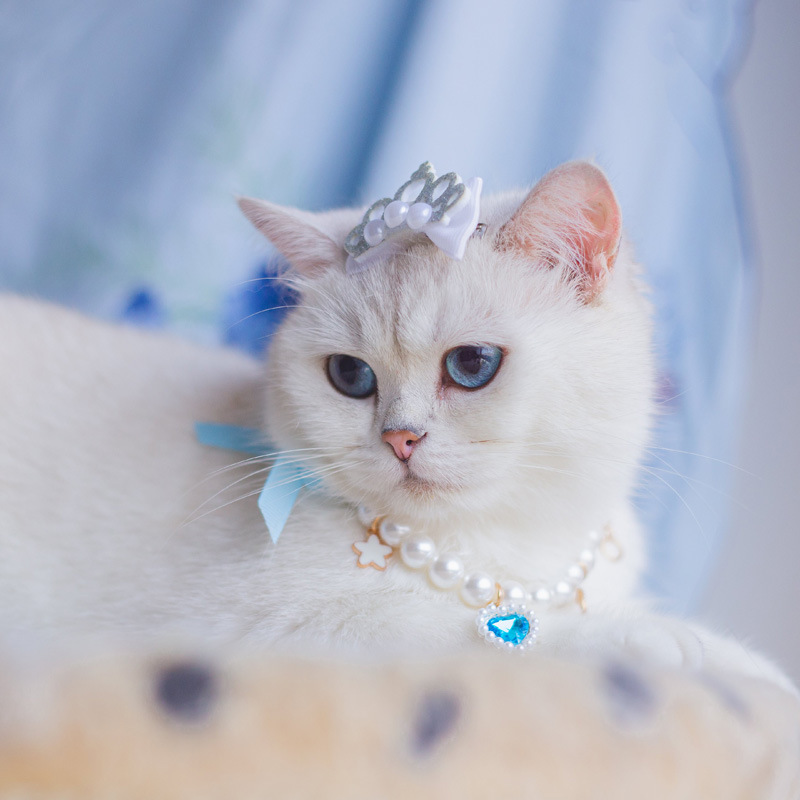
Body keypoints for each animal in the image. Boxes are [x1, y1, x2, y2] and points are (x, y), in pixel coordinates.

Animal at [0, 164, 792, 688]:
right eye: (351, 377)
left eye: (472, 365)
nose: (399, 438)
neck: (514, 545)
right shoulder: (270, 633)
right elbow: (497, 633)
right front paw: (694, 648)